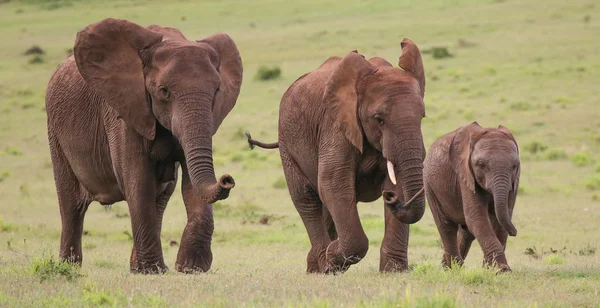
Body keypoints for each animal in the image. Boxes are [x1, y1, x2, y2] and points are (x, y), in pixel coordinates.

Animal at [45, 18, 241, 274]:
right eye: (164, 92)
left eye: (216, 91)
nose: (227, 179)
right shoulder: (123, 110)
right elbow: (138, 182)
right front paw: (152, 271)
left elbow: (190, 184)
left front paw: (190, 269)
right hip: (55, 133)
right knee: (71, 206)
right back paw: (70, 268)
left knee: (161, 197)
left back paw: (139, 267)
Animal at [247, 39, 426, 274]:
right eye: (379, 119)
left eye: (422, 116)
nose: (389, 198)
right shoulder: (335, 125)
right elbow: (333, 182)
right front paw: (332, 259)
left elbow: (396, 183)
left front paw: (393, 271)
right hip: (286, 141)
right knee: (306, 198)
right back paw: (323, 264)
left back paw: (317, 265)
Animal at [422, 121, 520, 270]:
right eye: (481, 164)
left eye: (515, 165)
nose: (515, 232)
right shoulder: (464, 173)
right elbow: (476, 218)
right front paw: (501, 270)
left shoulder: (514, 181)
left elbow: (502, 217)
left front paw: (491, 269)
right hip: (430, 184)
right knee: (446, 226)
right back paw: (454, 269)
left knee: (465, 232)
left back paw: (447, 267)